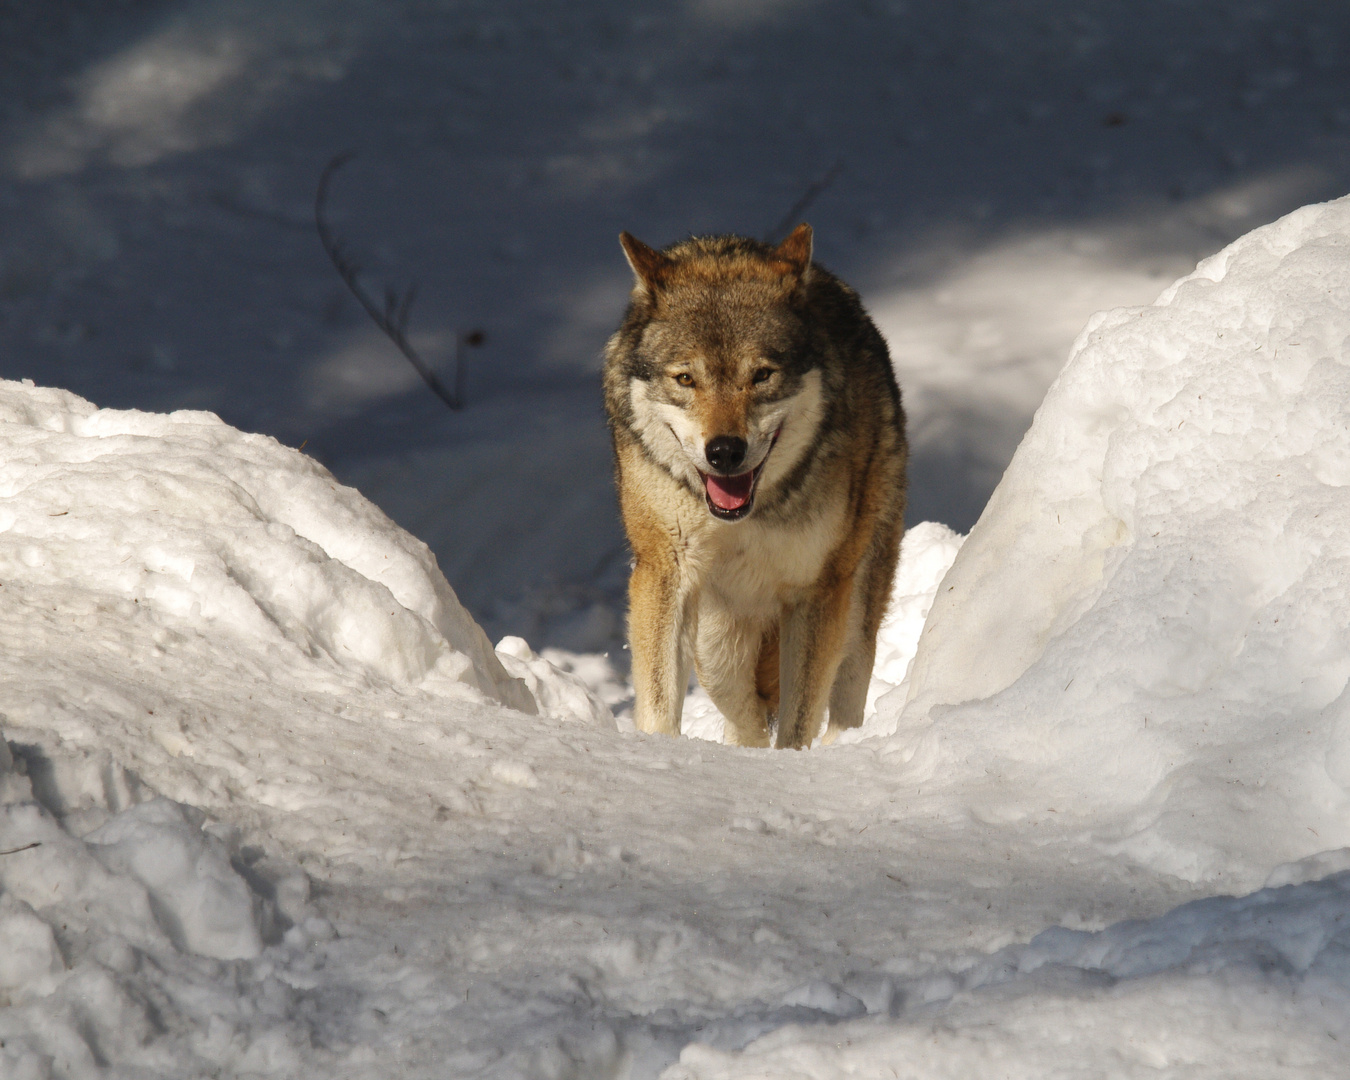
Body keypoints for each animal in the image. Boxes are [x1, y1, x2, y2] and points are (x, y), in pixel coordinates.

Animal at [604, 225, 907, 750]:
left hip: (858, 592)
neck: (745, 518)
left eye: (762, 375)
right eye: (686, 378)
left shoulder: (817, 590)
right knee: (738, 699)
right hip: (717, 635)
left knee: (846, 691)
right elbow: (661, 703)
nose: (725, 451)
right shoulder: (665, 569)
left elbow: (798, 720)